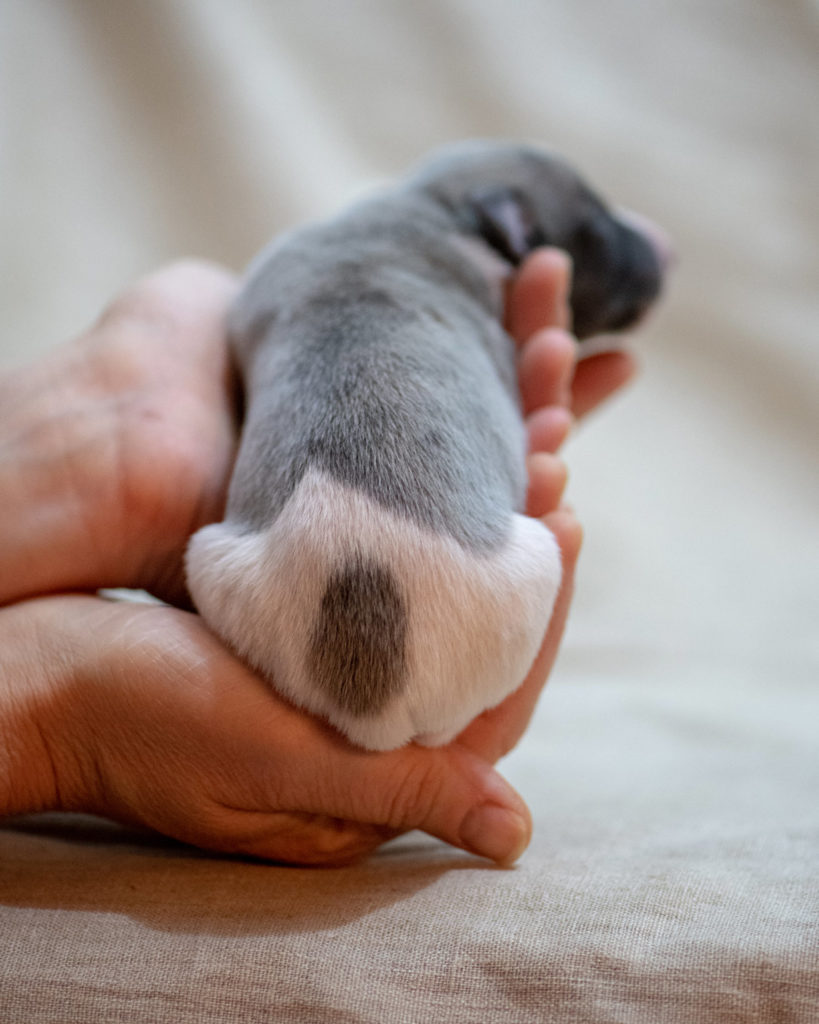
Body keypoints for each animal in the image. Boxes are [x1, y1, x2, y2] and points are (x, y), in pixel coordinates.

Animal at [187, 142, 671, 753]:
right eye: (596, 225)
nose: (667, 247)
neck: (436, 206)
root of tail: (372, 702)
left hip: (212, 563)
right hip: (534, 565)